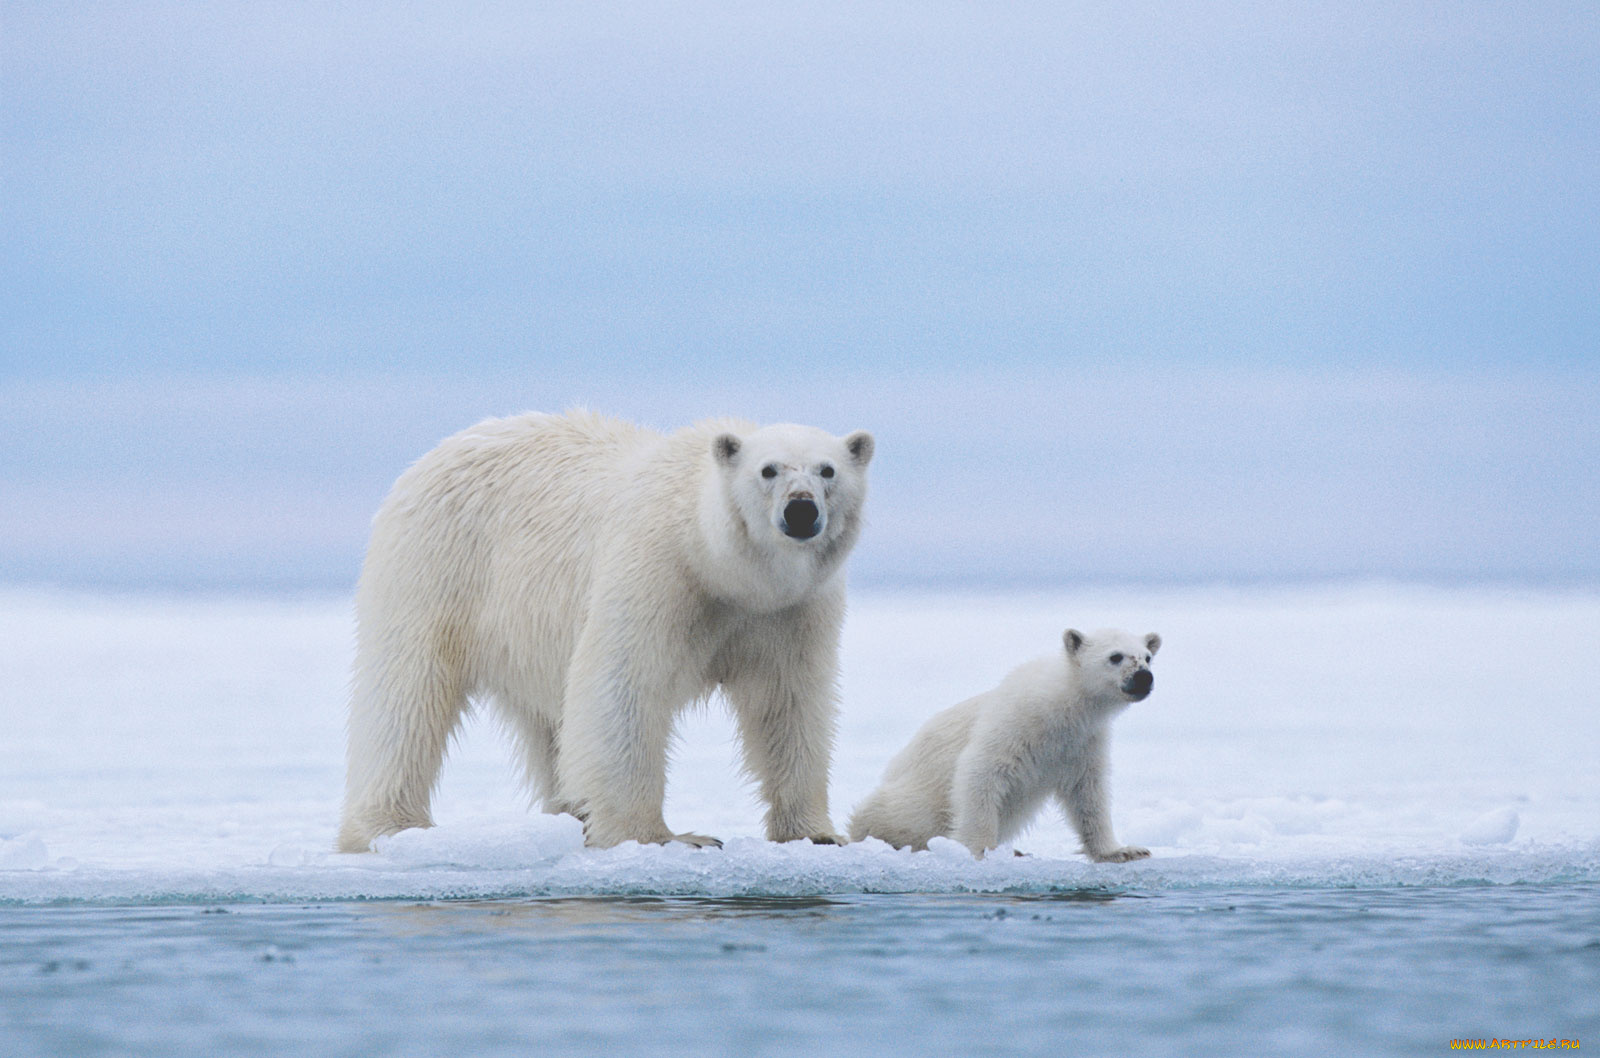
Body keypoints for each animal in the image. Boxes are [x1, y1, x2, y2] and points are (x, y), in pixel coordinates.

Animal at [337, 410, 874, 852]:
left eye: (828, 470)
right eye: (768, 470)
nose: (801, 510)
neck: (722, 568)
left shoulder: (792, 612)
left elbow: (790, 702)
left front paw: (817, 833)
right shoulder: (658, 572)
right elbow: (622, 690)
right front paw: (666, 837)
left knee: (548, 723)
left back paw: (570, 817)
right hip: (439, 567)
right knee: (406, 696)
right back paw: (391, 826)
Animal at [847, 627, 1160, 861]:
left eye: (1147, 657)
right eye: (1115, 656)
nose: (1144, 677)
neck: (1064, 706)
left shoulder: (1082, 743)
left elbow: (1088, 794)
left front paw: (1124, 851)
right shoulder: (1016, 722)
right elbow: (980, 772)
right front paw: (981, 849)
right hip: (912, 801)